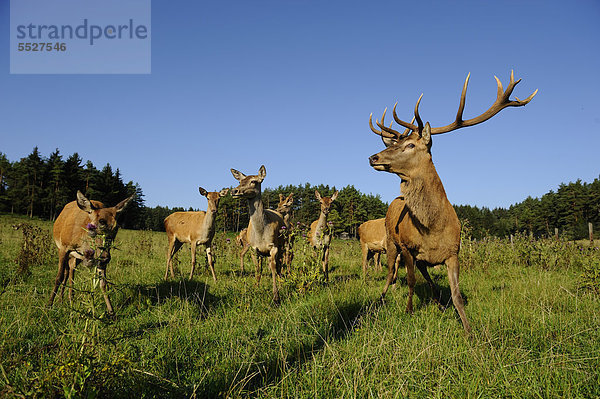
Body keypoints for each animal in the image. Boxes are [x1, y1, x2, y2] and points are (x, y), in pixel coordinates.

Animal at [230, 166, 286, 304]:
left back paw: (281, 282)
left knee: (280, 264)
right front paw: (256, 288)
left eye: (254, 181)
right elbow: (257, 269)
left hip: (284, 244)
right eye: (240, 181)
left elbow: (273, 267)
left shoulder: (273, 246)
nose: (234, 191)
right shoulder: (253, 248)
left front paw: (276, 297)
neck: (261, 234)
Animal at [368, 70, 536, 332]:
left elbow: (456, 294)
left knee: (424, 274)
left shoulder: (453, 252)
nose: (373, 157)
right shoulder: (406, 246)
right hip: (391, 241)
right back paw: (382, 298)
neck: (432, 228)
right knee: (390, 274)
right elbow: (411, 282)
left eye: (410, 144)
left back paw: (438, 301)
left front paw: (468, 329)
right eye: (396, 144)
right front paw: (409, 310)